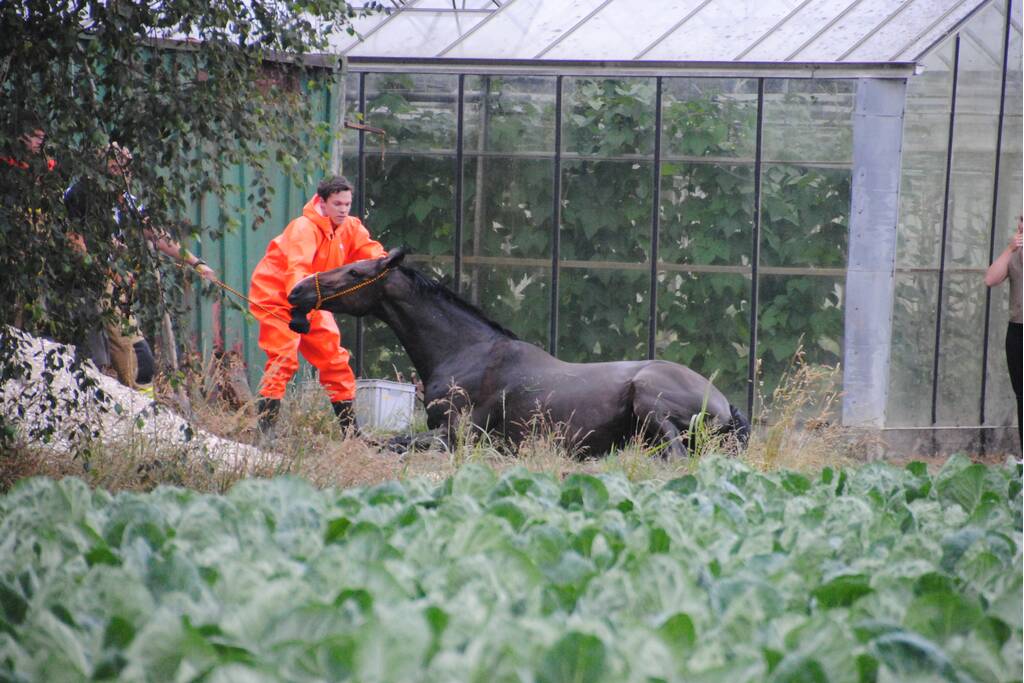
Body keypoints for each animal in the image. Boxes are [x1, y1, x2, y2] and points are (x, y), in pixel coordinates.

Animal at [287, 248, 750, 458]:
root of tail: (726, 405)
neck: (466, 352)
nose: (298, 291)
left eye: (354, 271)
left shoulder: (457, 436)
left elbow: (394, 443)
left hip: (651, 403)